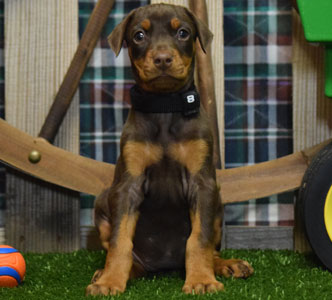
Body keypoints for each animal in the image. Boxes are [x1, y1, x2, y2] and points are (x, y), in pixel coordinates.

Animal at [86, 3, 254, 296]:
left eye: (183, 33)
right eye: (139, 35)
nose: (163, 59)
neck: (164, 107)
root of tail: (163, 265)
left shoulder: (203, 184)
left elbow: (199, 239)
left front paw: (201, 280)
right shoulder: (127, 185)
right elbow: (120, 241)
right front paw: (109, 282)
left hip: (218, 204)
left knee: (212, 250)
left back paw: (227, 265)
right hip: (103, 200)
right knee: (127, 255)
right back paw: (106, 273)